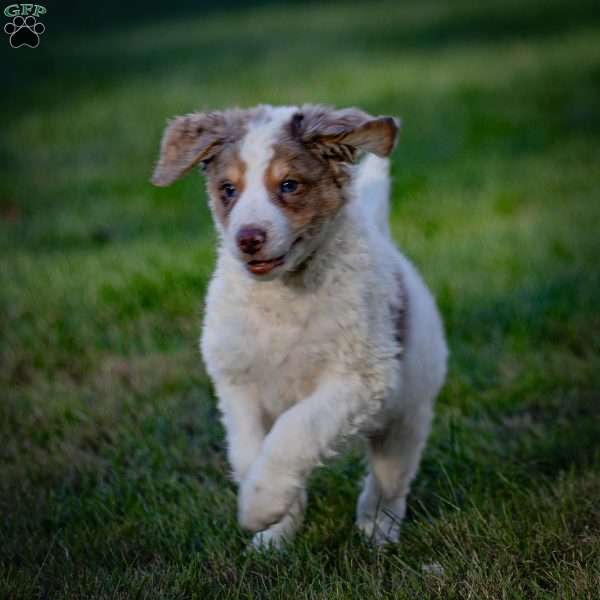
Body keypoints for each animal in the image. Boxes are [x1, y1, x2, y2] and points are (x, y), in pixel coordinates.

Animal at [152, 104, 448, 548]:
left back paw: (377, 530)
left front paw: (260, 506)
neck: (283, 295)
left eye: (289, 185)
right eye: (228, 190)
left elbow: (293, 432)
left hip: (406, 413)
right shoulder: (237, 383)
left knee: (390, 480)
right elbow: (249, 453)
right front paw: (274, 530)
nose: (248, 239)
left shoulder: (359, 378)